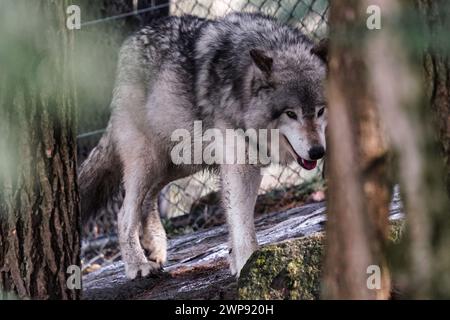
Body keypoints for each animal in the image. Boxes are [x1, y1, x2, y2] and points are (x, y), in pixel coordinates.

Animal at [80, 12, 326, 278]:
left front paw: (237, 262)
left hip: (179, 162)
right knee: (124, 213)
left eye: (321, 111)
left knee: (148, 198)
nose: (318, 151)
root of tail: (128, 45)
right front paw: (248, 266)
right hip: (148, 160)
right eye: (291, 114)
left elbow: (237, 221)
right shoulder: (240, 167)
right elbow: (243, 226)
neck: (241, 86)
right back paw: (138, 265)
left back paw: (155, 246)